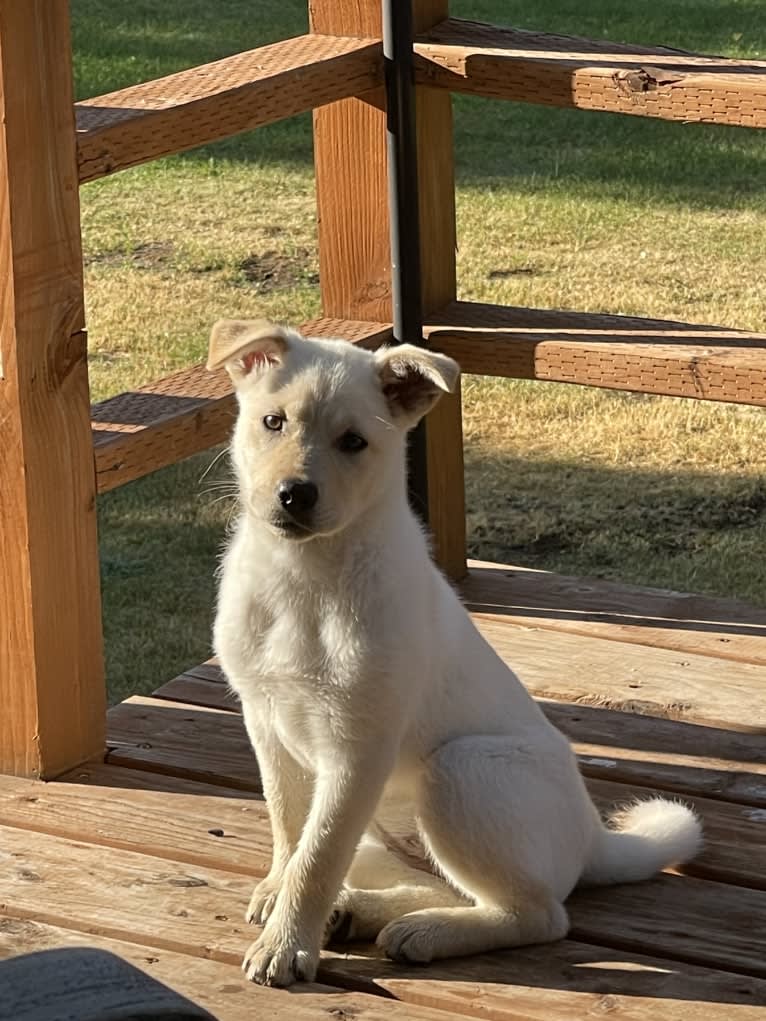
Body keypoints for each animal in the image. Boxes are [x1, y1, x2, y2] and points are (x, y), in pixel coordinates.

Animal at [208, 320, 702, 988]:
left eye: (354, 442)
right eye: (273, 422)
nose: (294, 495)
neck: (304, 577)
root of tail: (594, 836)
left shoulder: (357, 749)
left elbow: (316, 860)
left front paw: (286, 947)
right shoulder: (265, 721)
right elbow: (290, 828)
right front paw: (277, 895)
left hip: (459, 771)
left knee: (538, 914)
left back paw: (425, 932)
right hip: (387, 830)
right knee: (436, 883)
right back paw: (362, 915)